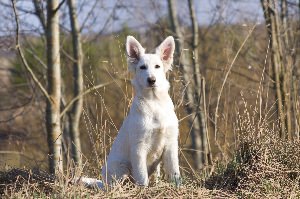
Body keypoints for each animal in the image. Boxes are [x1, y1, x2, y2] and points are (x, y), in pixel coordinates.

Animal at [101, 35, 180, 186]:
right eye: (142, 67)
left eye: (157, 66)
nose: (151, 80)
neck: (154, 103)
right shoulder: (139, 148)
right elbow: (142, 176)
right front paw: (144, 188)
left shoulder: (170, 144)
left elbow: (175, 172)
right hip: (122, 168)